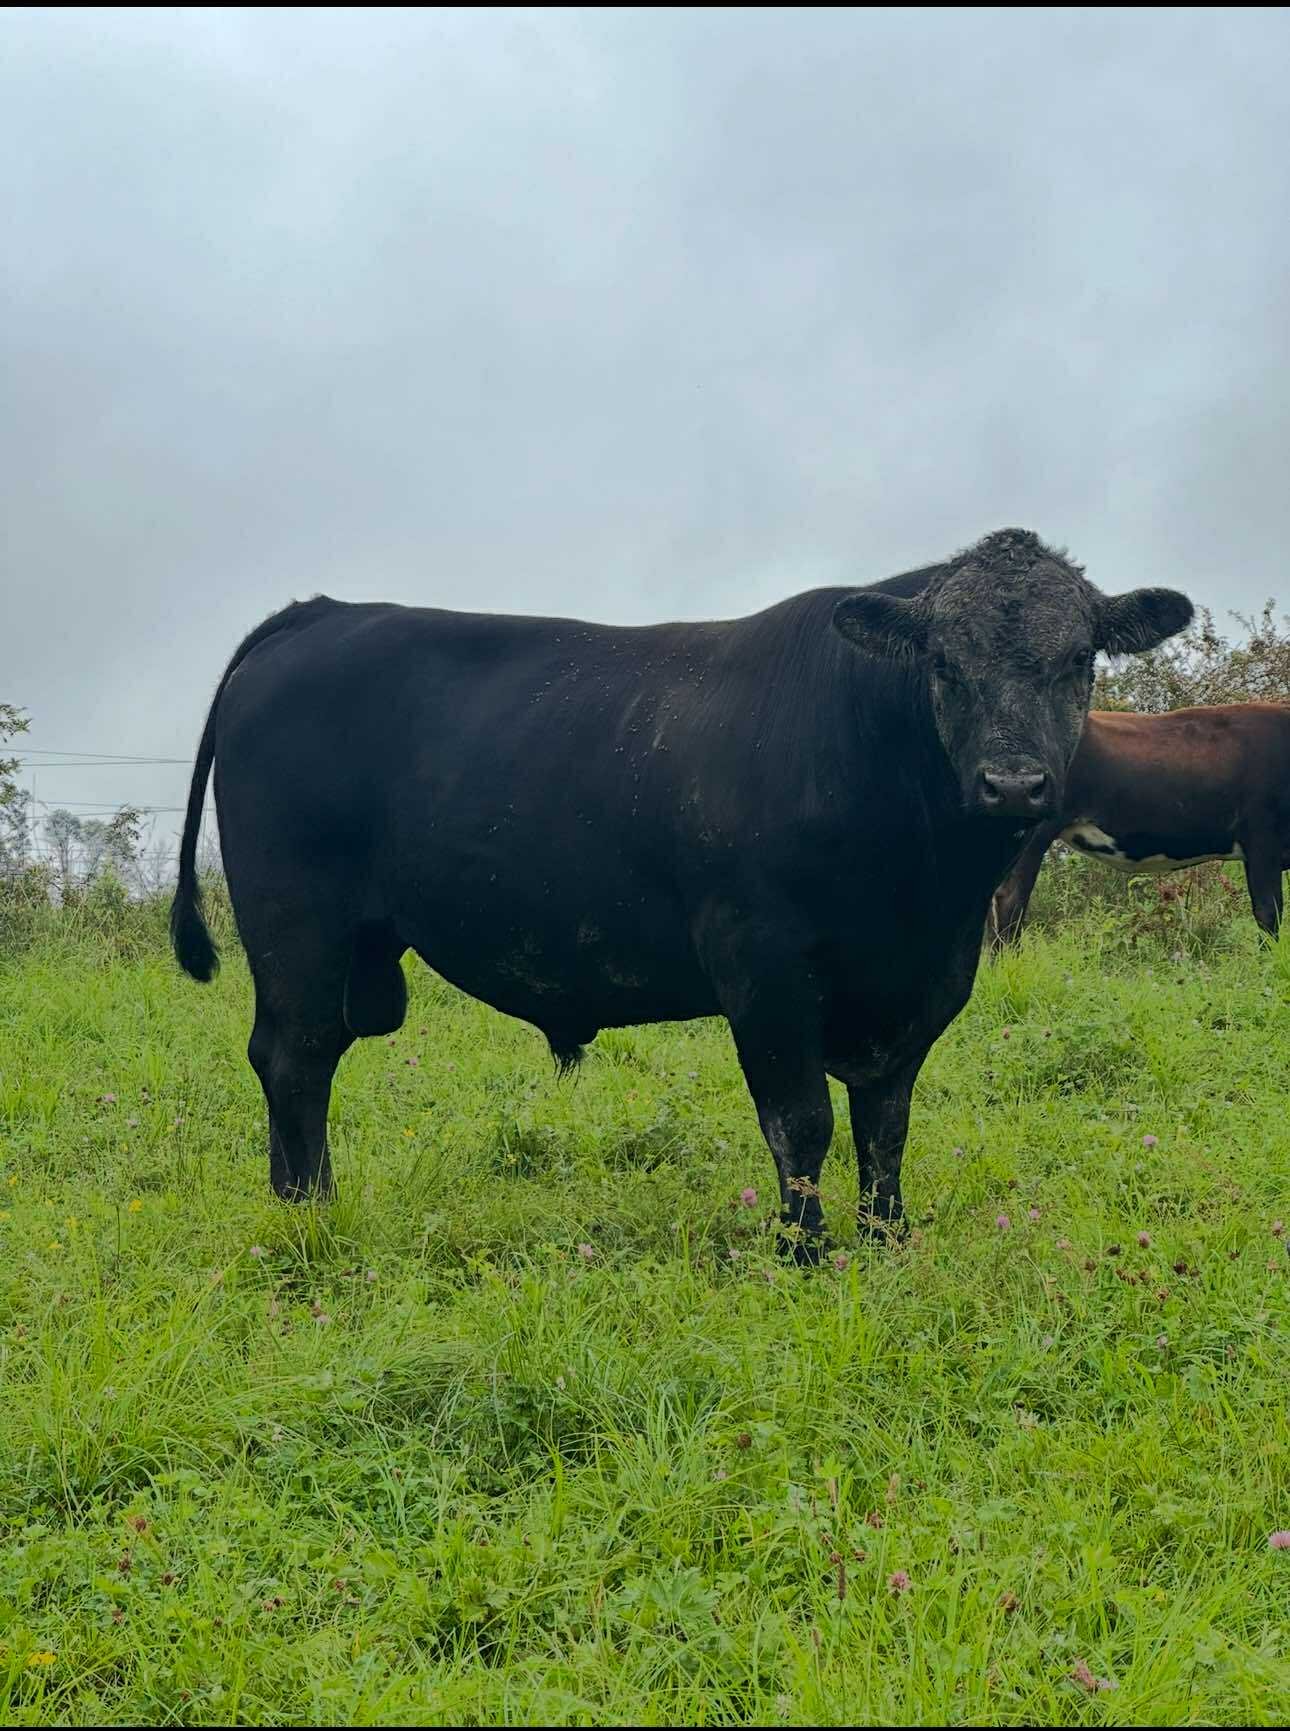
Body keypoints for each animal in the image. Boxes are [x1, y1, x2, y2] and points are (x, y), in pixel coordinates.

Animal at [170, 528, 1191, 1260]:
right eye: (943, 662)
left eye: (1079, 659)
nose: (1014, 784)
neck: (923, 891)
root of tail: (320, 613)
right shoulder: (762, 964)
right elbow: (802, 1122)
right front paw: (804, 1254)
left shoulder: (923, 981)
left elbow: (886, 1125)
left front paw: (888, 1240)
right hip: (295, 926)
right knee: (294, 1060)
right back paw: (314, 1213)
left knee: (293, 1057)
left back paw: (293, 1204)